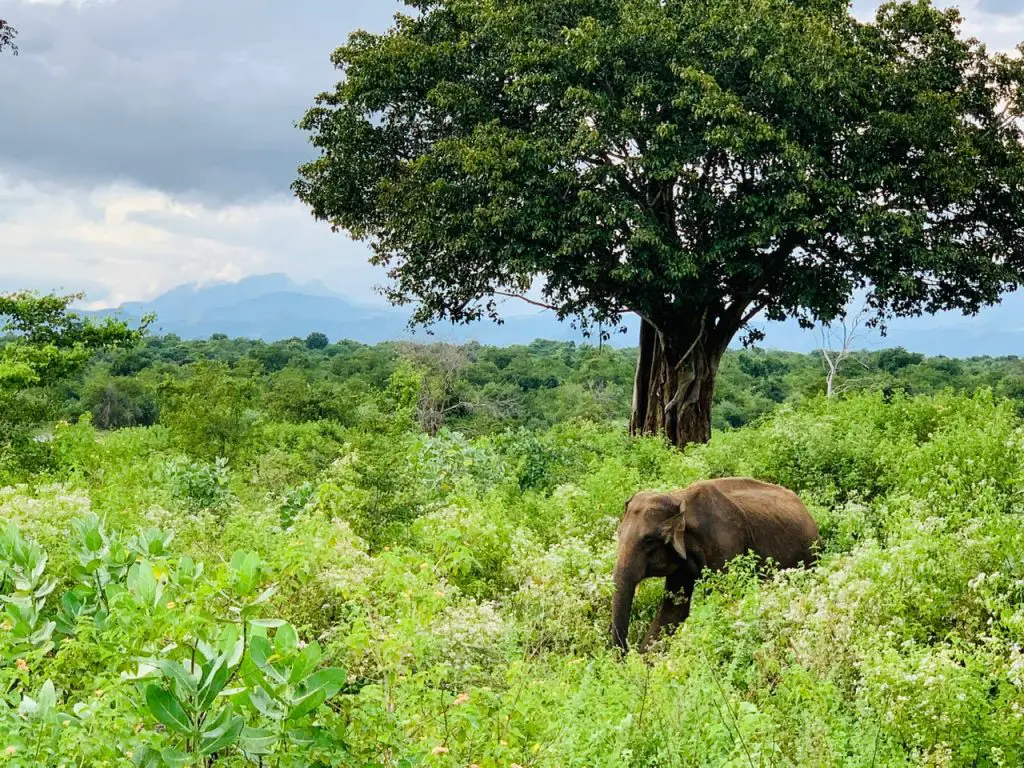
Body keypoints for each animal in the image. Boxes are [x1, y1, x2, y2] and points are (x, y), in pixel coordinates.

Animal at [610, 479, 819, 651]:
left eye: (648, 540)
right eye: (618, 534)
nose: (625, 655)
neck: (679, 498)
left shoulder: (725, 543)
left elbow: (722, 599)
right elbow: (673, 611)